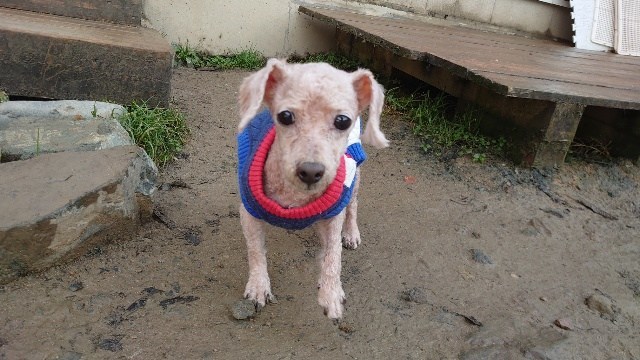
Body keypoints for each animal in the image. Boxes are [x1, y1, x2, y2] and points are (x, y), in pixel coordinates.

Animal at [235, 57, 384, 320]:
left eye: (343, 121)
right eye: (285, 116)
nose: (311, 171)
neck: (295, 196)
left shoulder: (334, 213)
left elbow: (334, 253)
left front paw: (331, 292)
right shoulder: (248, 212)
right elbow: (255, 250)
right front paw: (259, 285)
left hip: (355, 179)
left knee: (353, 206)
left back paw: (351, 232)